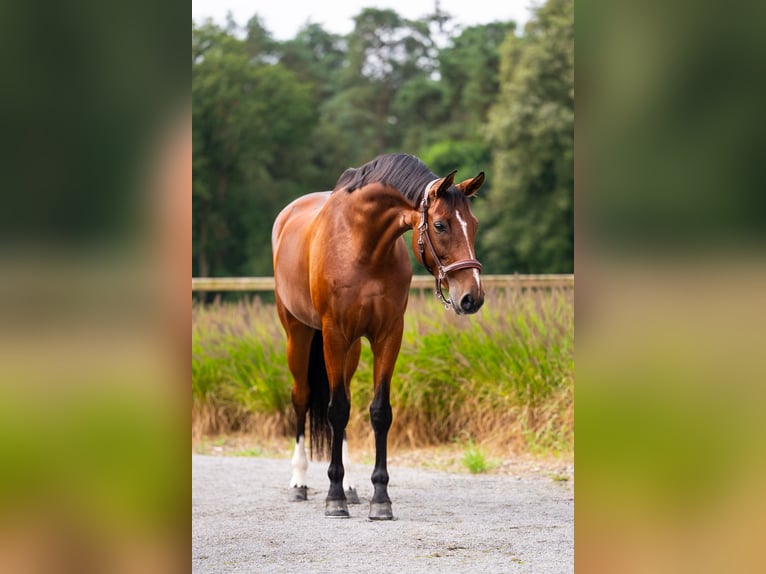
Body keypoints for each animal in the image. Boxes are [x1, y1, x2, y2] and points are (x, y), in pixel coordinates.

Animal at [272, 153, 486, 520]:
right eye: (440, 225)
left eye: (472, 224)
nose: (472, 297)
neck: (362, 245)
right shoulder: (334, 334)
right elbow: (337, 409)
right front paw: (334, 499)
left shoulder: (388, 335)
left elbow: (378, 412)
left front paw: (379, 498)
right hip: (299, 335)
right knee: (302, 398)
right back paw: (299, 482)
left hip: (352, 349)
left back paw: (350, 485)